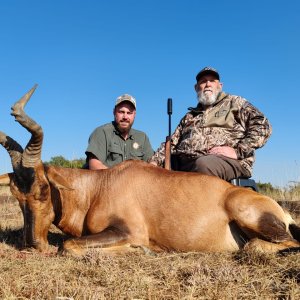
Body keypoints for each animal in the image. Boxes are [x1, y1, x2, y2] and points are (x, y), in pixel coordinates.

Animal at [0, 86, 300, 255]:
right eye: (16, 195)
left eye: (43, 189)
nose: (33, 245)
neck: (101, 186)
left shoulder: (128, 230)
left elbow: (69, 246)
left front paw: (144, 250)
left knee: (267, 245)